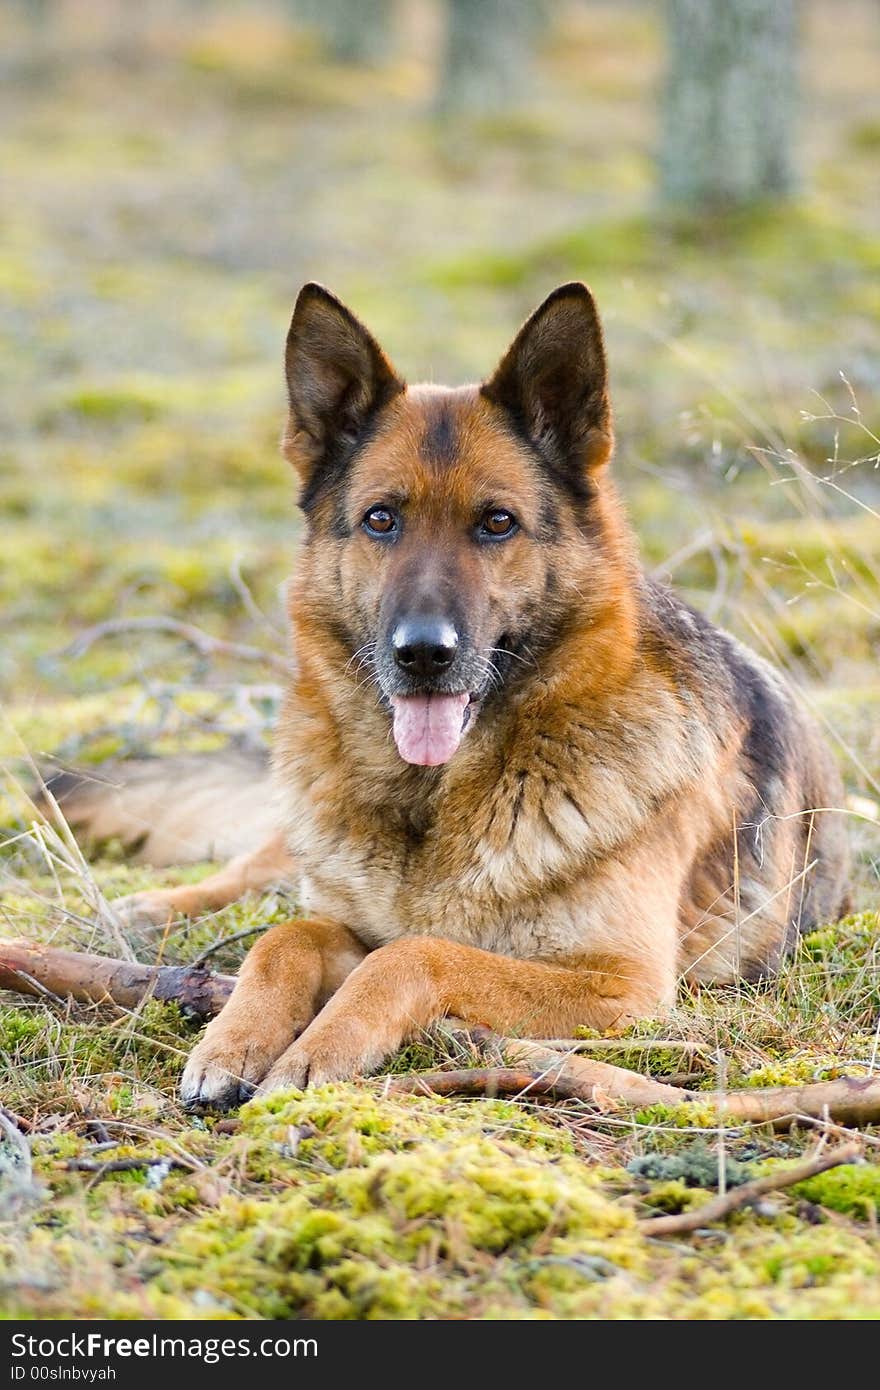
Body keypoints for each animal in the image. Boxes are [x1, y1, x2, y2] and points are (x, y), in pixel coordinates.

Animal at [53, 284, 845, 1106]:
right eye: (381, 519)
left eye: (497, 522)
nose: (424, 655)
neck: (432, 801)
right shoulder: (343, 917)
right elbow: (286, 936)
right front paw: (233, 1040)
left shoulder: (619, 984)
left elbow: (413, 954)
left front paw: (317, 1049)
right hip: (302, 837)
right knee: (260, 868)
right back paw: (154, 907)